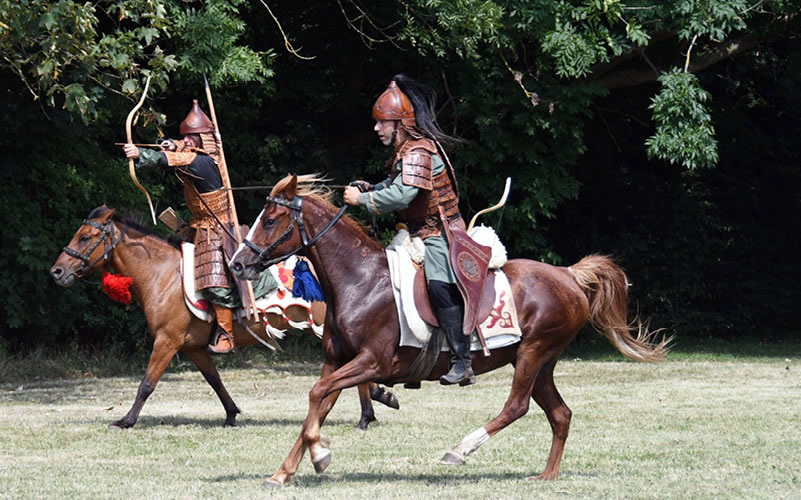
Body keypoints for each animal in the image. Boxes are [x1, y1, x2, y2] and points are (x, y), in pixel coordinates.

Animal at [49, 206, 396, 430]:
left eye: (84, 237)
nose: (57, 272)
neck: (162, 275)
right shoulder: (193, 347)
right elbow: (214, 380)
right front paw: (231, 414)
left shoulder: (167, 341)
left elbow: (147, 383)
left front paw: (126, 420)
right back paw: (372, 407)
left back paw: (369, 411)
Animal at [230, 174, 668, 486]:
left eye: (271, 221)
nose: (237, 264)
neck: (361, 281)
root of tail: (568, 276)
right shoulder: (337, 362)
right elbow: (317, 403)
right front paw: (287, 470)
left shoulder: (372, 362)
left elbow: (318, 395)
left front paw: (320, 454)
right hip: (539, 362)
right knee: (560, 414)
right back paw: (546, 475)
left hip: (534, 353)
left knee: (517, 406)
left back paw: (460, 449)